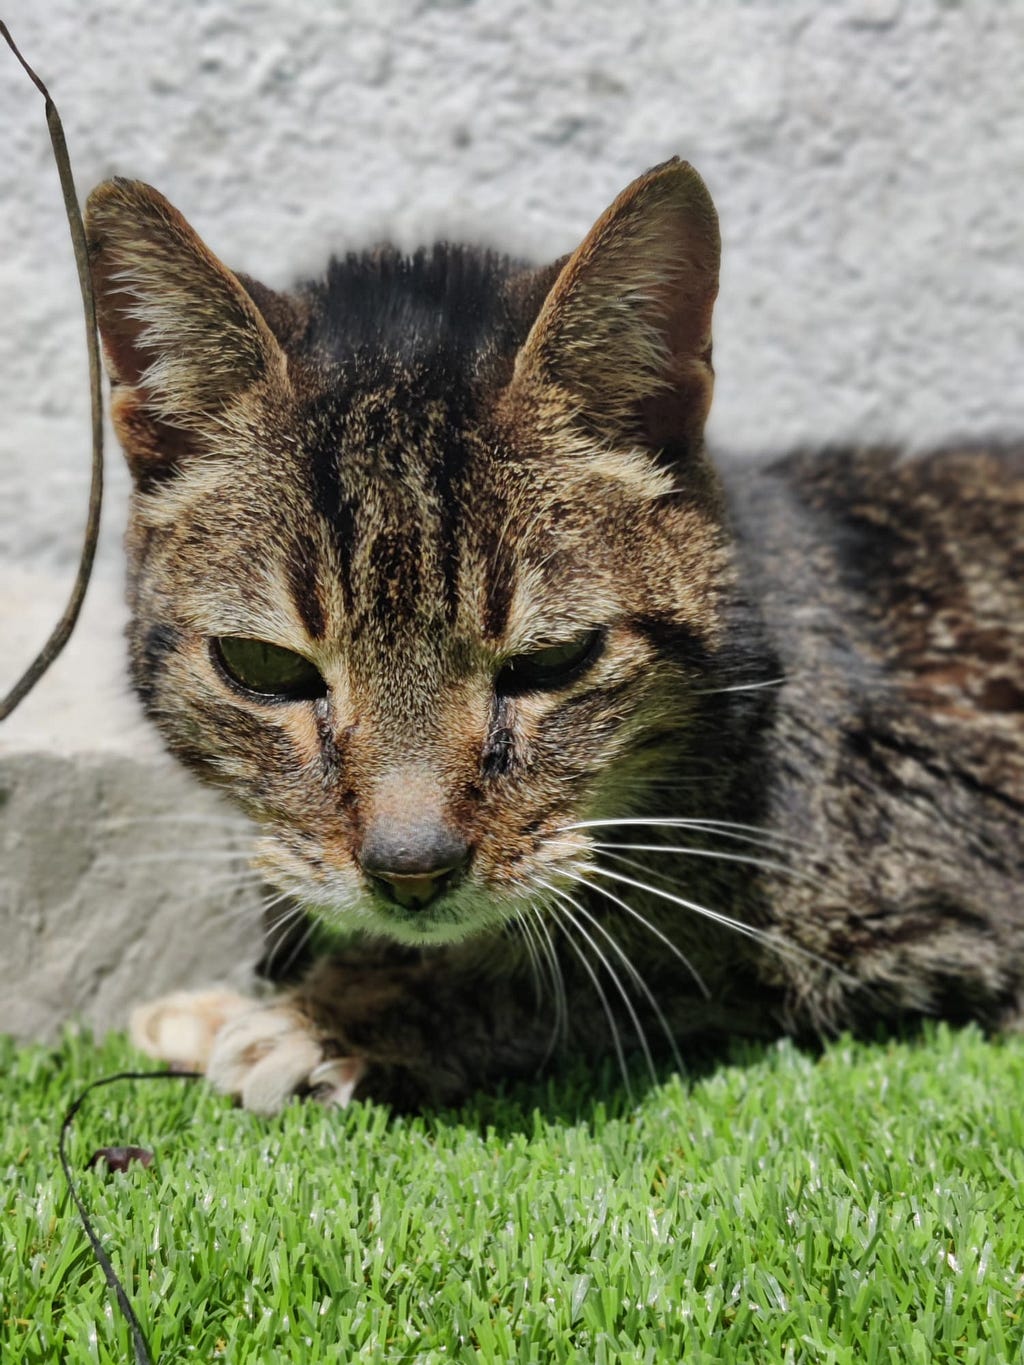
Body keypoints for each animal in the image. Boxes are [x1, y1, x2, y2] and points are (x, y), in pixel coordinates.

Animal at [82, 159, 1024, 1113]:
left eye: (555, 661)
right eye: (264, 668)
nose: (410, 867)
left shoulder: (919, 894)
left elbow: (588, 953)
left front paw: (325, 1015)